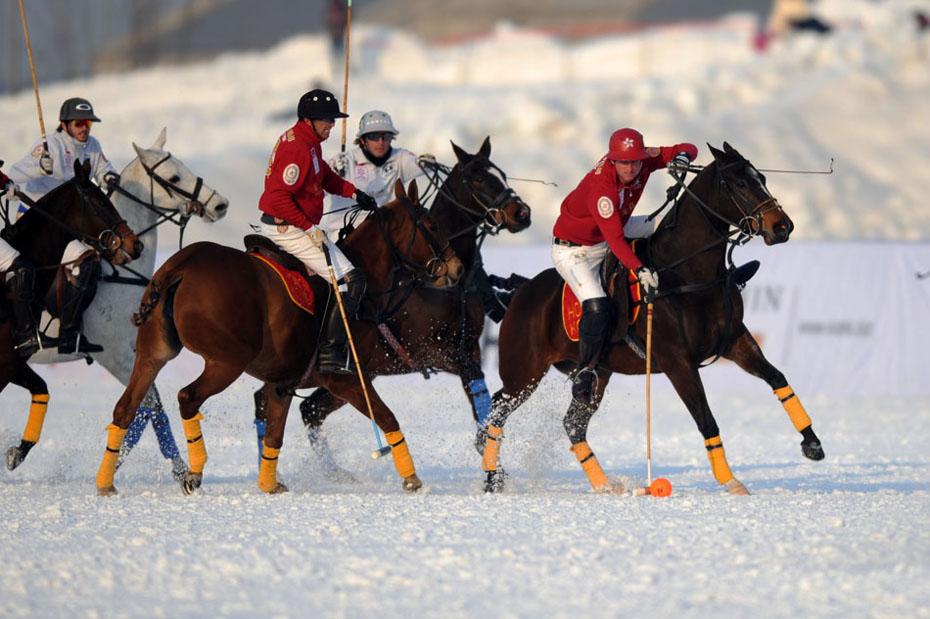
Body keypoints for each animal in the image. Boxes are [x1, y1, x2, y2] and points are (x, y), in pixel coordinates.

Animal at [94, 178, 464, 494]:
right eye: (432, 226)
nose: (458, 268)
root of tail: (181, 265)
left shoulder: (283, 383)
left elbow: (274, 435)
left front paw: (270, 484)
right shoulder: (346, 379)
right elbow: (387, 416)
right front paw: (412, 479)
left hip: (152, 353)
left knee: (126, 407)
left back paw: (106, 483)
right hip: (226, 361)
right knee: (187, 398)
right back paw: (194, 473)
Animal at [254, 137, 532, 470]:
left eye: (500, 173)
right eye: (477, 178)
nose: (522, 213)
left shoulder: (468, 347)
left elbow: (481, 395)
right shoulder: (432, 350)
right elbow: (479, 390)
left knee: (304, 409)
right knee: (272, 403)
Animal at [482, 143, 824, 496]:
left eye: (763, 179)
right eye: (740, 183)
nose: (782, 227)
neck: (688, 273)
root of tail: (520, 291)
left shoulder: (735, 340)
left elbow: (778, 379)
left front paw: (812, 443)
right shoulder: (677, 362)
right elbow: (706, 419)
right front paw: (731, 481)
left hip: (597, 374)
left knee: (572, 424)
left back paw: (606, 486)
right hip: (524, 371)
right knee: (498, 409)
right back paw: (493, 476)